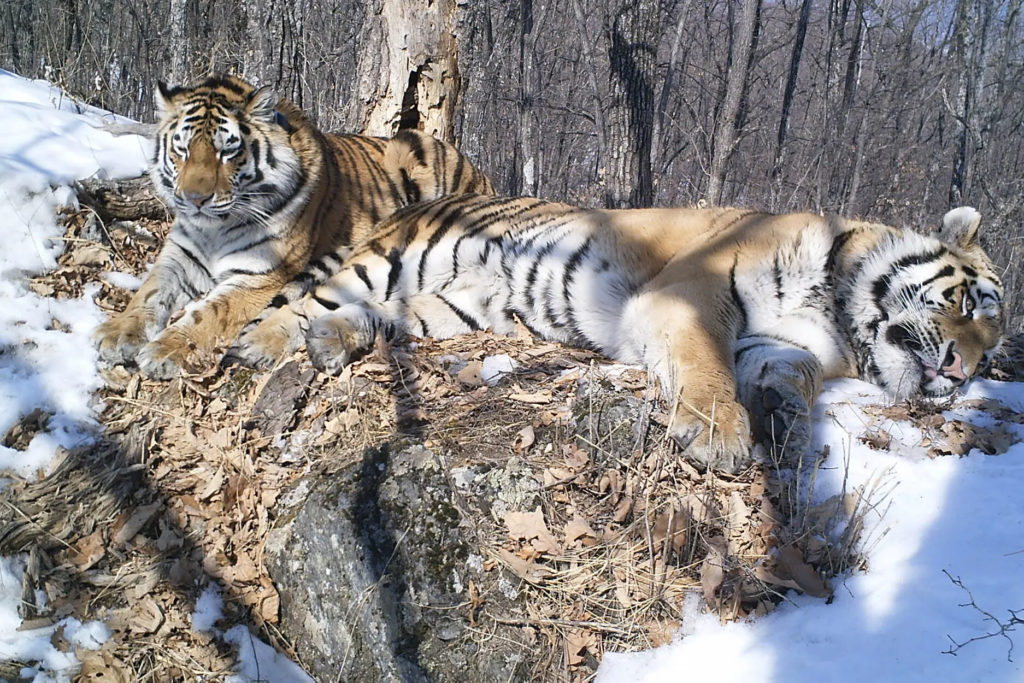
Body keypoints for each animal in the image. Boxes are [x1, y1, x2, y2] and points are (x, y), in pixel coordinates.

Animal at [94, 77, 493, 382]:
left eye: (227, 152)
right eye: (183, 150)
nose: (195, 199)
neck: (215, 228)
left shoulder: (259, 275)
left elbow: (208, 313)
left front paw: (164, 350)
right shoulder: (179, 257)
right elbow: (148, 293)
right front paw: (115, 334)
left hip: (411, 149)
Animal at [232, 194, 999, 475]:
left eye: (994, 350)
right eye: (969, 301)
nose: (963, 373)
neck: (837, 308)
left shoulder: (784, 343)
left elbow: (792, 374)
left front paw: (783, 417)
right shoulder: (691, 294)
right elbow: (706, 365)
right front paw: (719, 435)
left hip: (454, 307)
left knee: (379, 316)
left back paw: (335, 340)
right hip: (395, 258)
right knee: (300, 301)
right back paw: (259, 344)